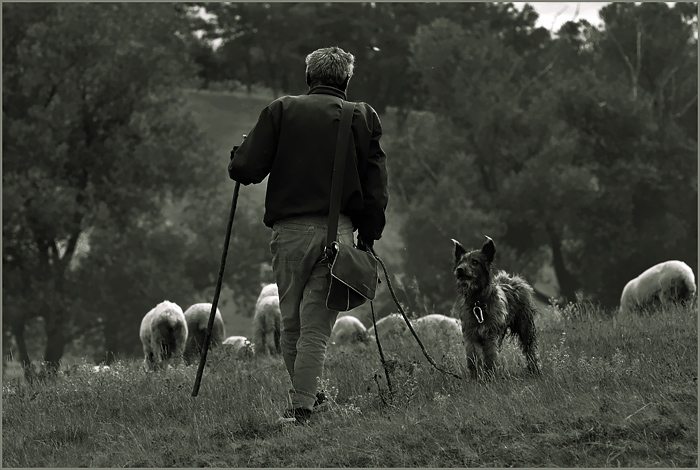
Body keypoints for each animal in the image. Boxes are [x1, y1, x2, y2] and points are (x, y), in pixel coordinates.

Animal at [452, 237, 540, 380]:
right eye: (460, 262)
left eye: (475, 262)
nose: (459, 269)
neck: (478, 303)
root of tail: (511, 279)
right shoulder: (471, 336)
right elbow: (473, 357)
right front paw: (476, 378)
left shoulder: (490, 336)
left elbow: (490, 357)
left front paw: (490, 377)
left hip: (525, 327)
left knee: (530, 349)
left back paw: (535, 370)